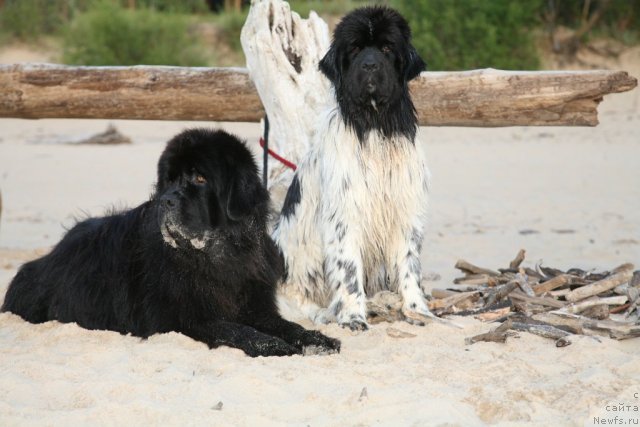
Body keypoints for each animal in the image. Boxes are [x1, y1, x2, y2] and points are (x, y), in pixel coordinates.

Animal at [2, 130, 342, 358]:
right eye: (169, 179)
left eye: (200, 179)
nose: (165, 200)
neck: (216, 256)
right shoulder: (183, 317)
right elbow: (233, 328)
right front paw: (272, 346)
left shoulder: (255, 302)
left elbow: (287, 325)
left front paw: (318, 339)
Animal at [272, 6, 432, 332]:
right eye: (355, 49)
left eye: (387, 48)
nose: (370, 65)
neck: (374, 127)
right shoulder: (345, 215)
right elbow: (348, 271)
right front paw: (353, 316)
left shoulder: (405, 209)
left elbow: (409, 264)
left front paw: (416, 309)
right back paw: (324, 313)